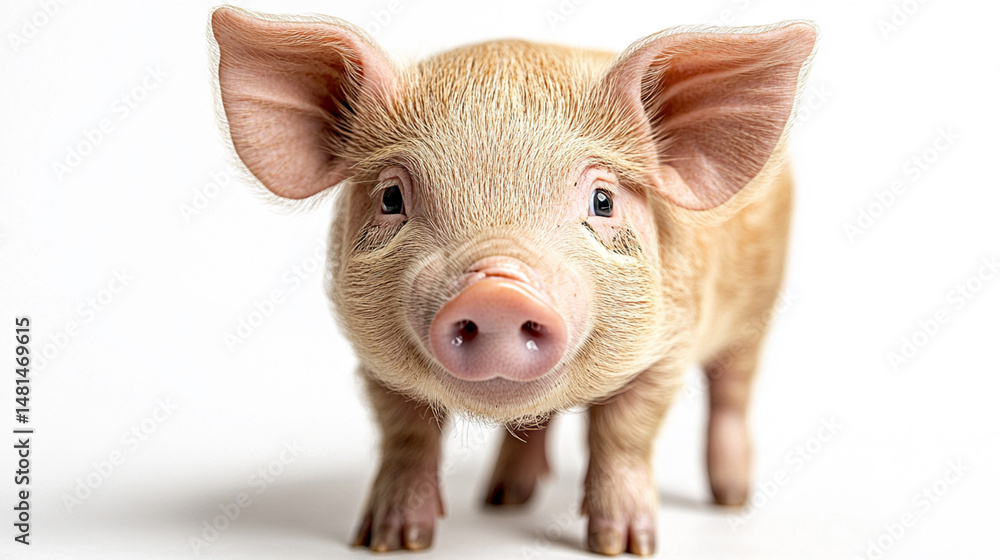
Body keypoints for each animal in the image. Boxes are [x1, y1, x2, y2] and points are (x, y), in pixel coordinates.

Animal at [210, 6, 817, 556]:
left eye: (603, 200)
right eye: (391, 197)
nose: (497, 291)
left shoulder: (666, 350)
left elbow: (623, 434)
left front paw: (624, 547)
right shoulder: (375, 364)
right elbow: (406, 434)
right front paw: (389, 542)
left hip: (756, 315)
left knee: (731, 392)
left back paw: (731, 498)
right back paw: (502, 500)